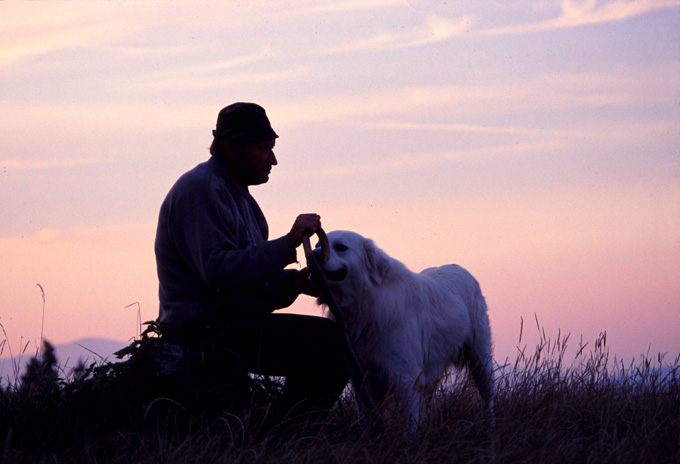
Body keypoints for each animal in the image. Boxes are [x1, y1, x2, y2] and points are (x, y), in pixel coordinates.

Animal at [314, 230, 494, 426]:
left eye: (341, 247)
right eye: (317, 245)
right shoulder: (362, 376)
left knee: (488, 398)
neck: (367, 301)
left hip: (481, 360)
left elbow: (409, 424)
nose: (314, 254)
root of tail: (458, 267)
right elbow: (368, 417)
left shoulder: (405, 378)